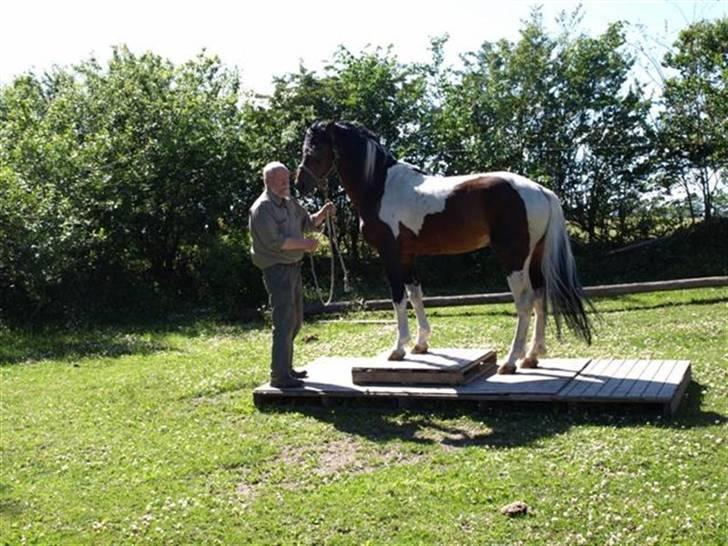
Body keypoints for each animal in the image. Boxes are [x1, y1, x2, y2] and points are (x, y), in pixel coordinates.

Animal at [294, 120, 592, 372]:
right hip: (535, 257)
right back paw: (531, 356)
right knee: (541, 297)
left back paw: (510, 361)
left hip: (513, 258)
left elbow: (398, 298)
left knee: (525, 301)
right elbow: (416, 295)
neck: (380, 186)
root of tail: (541, 191)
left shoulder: (390, 254)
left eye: (314, 149)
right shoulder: (408, 255)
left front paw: (399, 348)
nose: (299, 185)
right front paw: (420, 344)